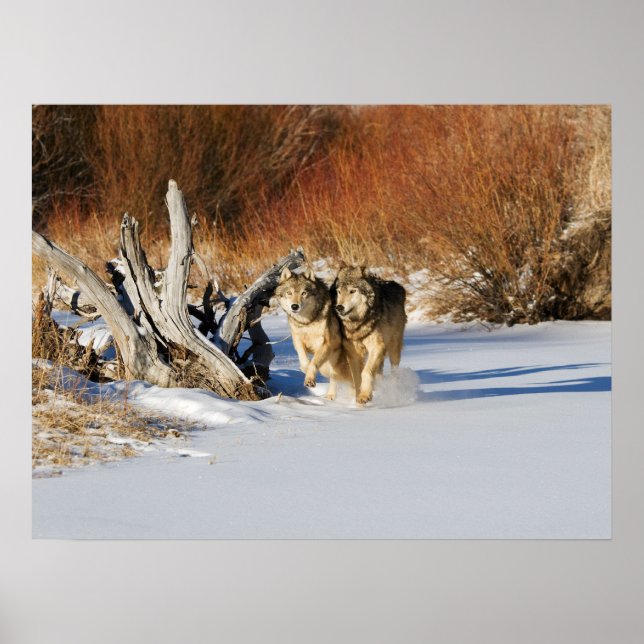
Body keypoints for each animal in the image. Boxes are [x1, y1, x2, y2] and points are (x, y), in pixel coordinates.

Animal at [275, 266, 352, 400]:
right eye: (289, 293)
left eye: (303, 293)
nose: (294, 306)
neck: (307, 322)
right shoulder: (297, 340)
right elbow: (304, 361)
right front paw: (305, 371)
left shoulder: (326, 343)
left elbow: (313, 363)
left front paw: (310, 380)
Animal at [332, 266, 407, 405]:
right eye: (339, 292)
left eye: (352, 291)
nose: (339, 307)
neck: (358, 324)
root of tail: (397, 286)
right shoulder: (353, 353)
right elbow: (356, 378)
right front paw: (358, 398)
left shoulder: (376, 347)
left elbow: (366, 372)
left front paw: (365, 396)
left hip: (393, 348)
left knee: (394, 370)